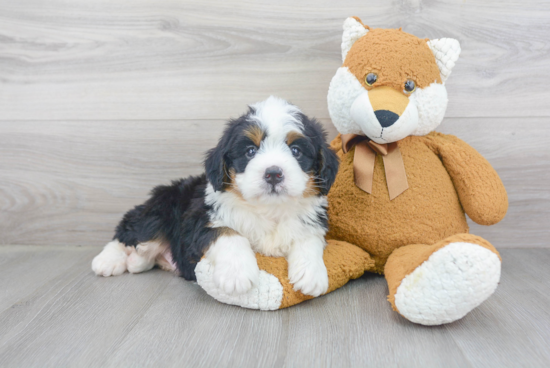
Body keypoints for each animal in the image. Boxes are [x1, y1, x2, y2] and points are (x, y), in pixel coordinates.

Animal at [92, 96, 338, 298]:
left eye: (296, 151)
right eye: (250, 151)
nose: (273, 173)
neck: (269, 209)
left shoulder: (311, 220)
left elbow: (309, 239)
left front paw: (312, 274)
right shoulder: (201, 218)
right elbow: (229, 233)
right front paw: (237, 275)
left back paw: (136, 262)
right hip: (160, 211)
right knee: (129, 233)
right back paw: (107, 261)